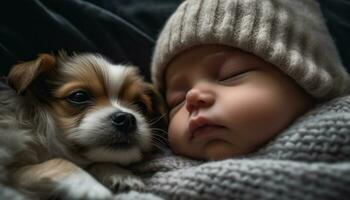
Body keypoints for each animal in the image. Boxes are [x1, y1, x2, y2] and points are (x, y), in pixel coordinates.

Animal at [0, 53, 167, 200]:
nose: (126, 119)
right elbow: (60, 162)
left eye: (141, 105)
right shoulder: (10, 173)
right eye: (79, 96)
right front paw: (93, 188)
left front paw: (121, 175)